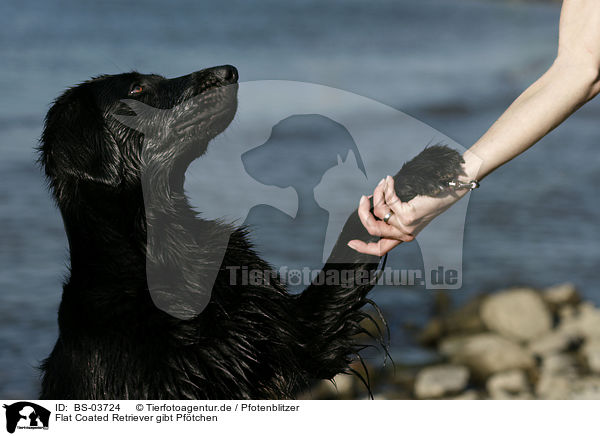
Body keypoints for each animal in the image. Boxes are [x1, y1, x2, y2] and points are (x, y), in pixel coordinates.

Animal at [36, 64, 464, 398]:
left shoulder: (302, 338)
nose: (230, 72)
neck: (166, 248)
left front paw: (421, 171)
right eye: (137, 90)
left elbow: (355, 232)